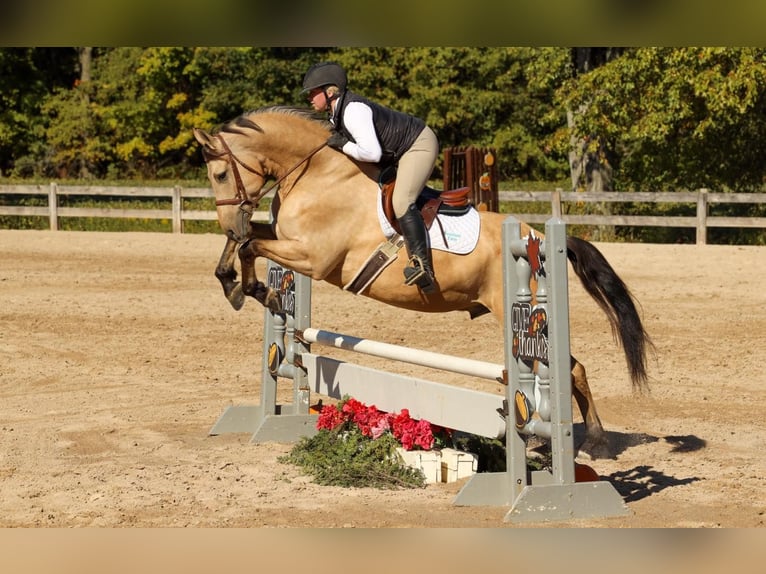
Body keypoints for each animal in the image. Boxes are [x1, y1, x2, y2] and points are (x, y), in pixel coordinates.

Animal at [192, 106, 656, 462]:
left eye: (220, 173)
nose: (227, 220)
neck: (317, 174)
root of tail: (537, 235)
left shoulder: (313, 257)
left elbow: (250, 244)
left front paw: (259, 291)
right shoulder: (288, 241)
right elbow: (246, 241)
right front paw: (235, 285)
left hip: (519, 311)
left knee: (571, 368)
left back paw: (595, 442)